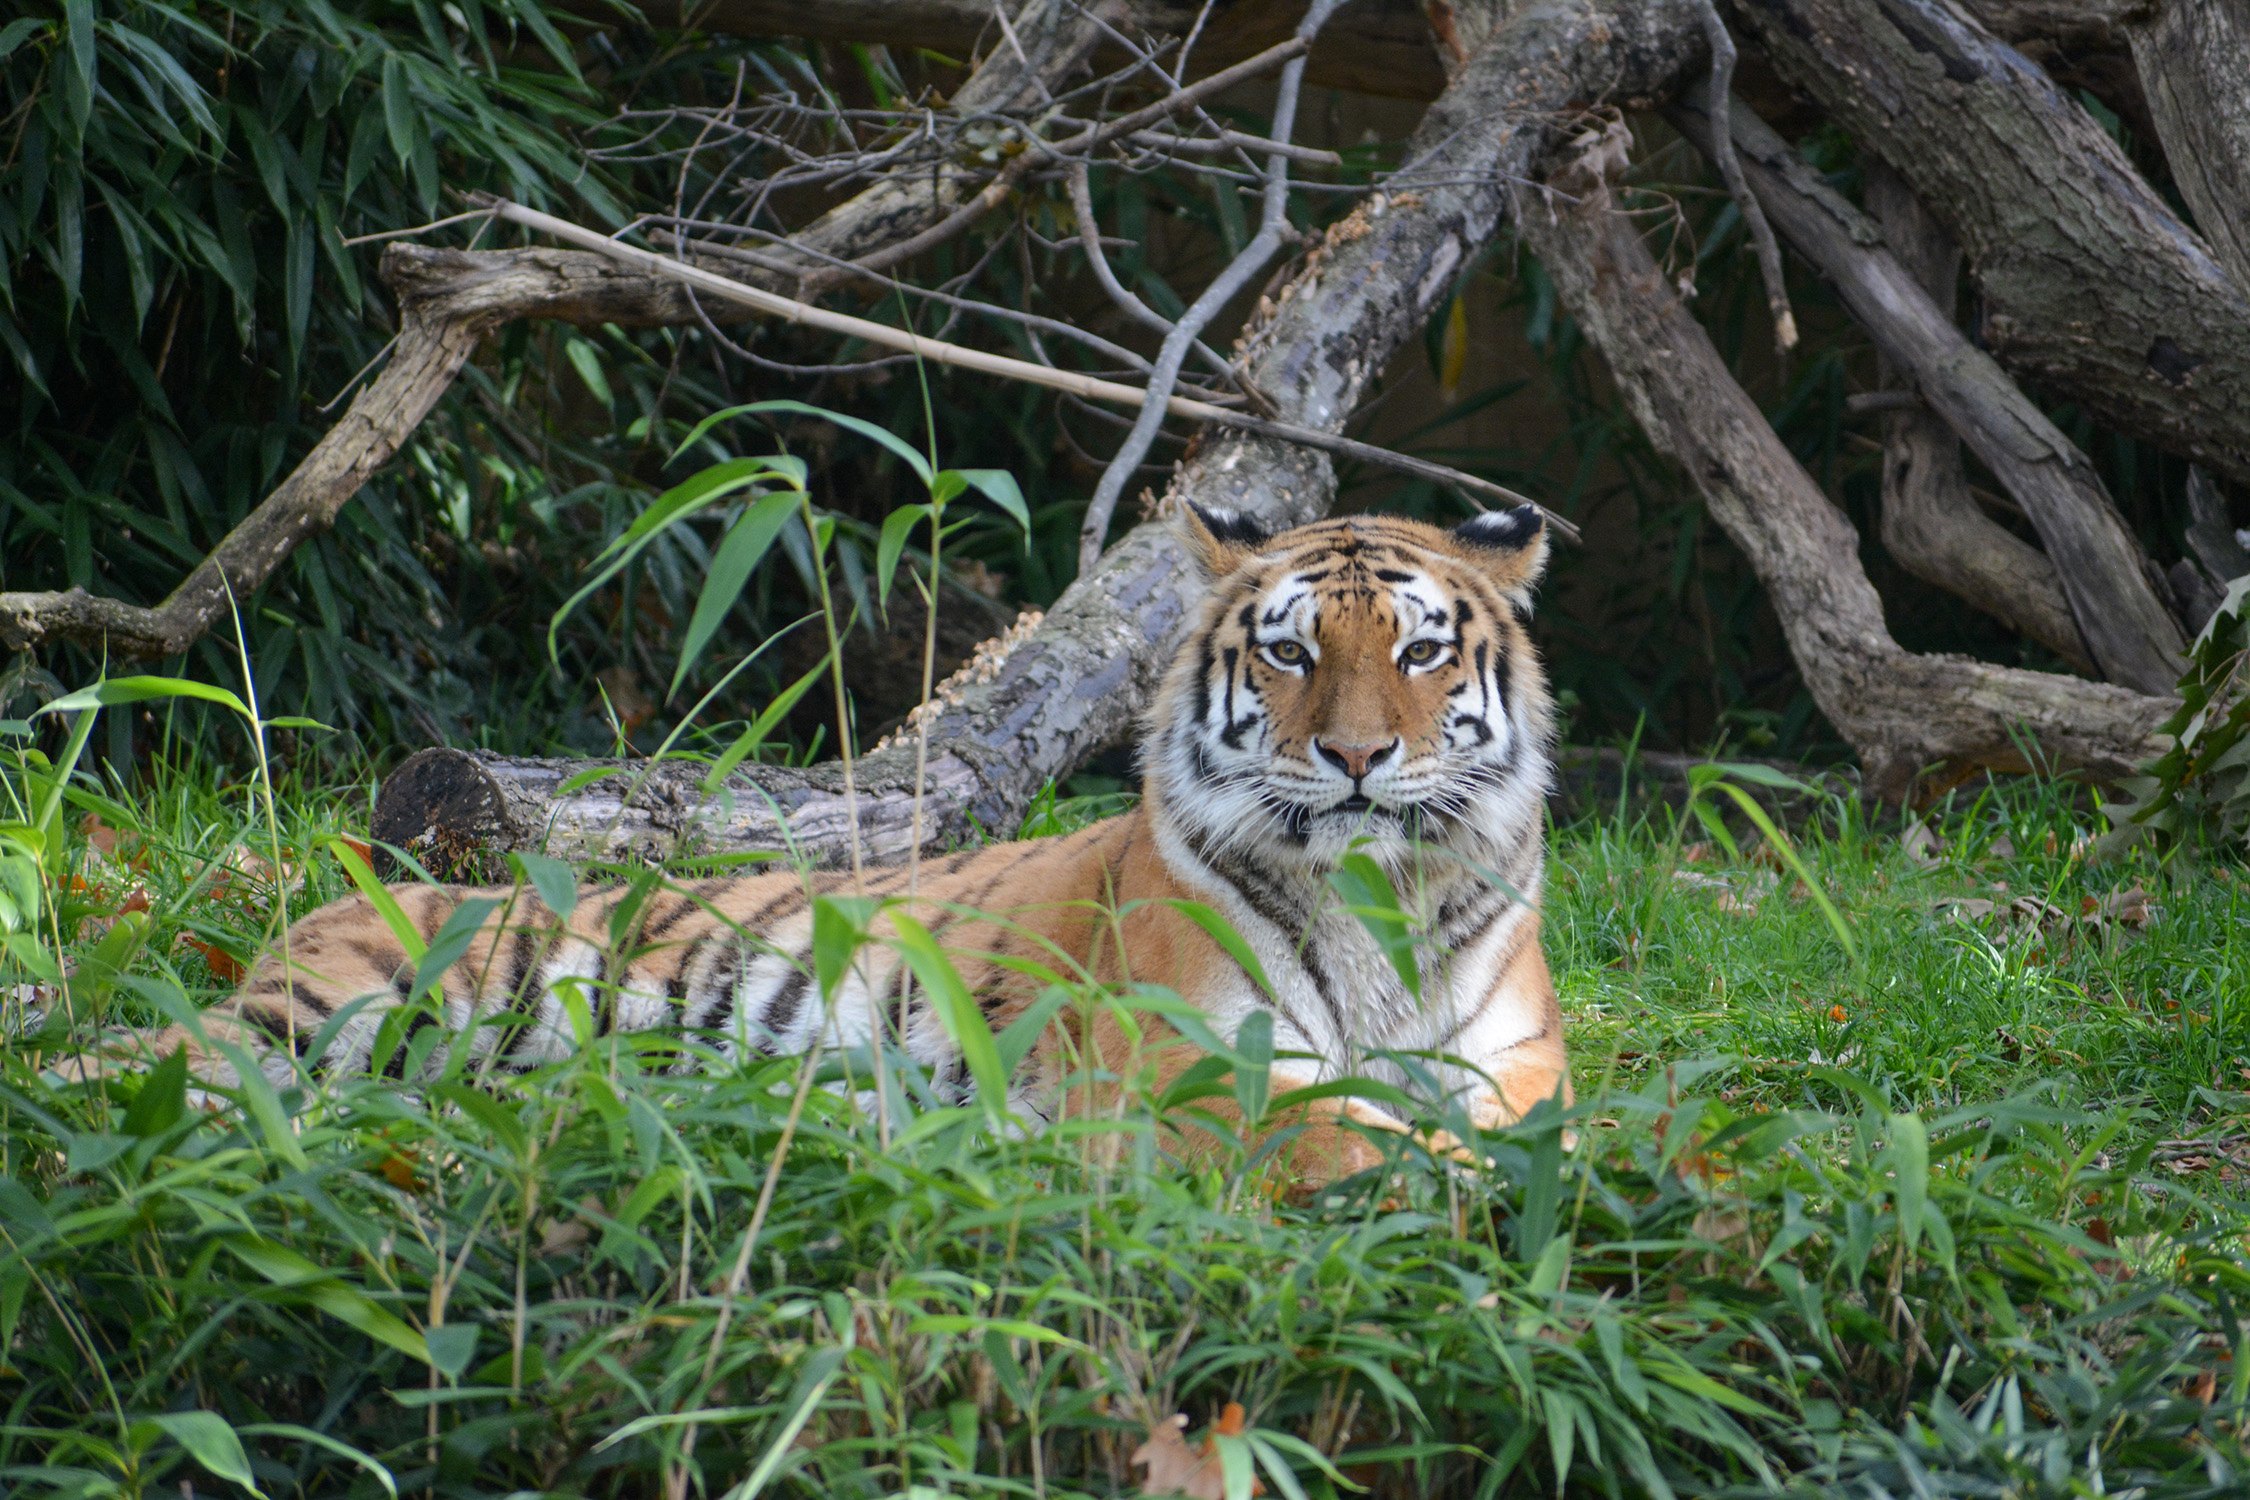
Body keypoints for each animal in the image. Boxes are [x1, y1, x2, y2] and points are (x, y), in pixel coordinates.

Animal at [66, 505, 1569, 1187]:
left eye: (1420, 654)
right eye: (1292, 653)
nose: (1358, 759)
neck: (1378, 896)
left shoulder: (1517, 1058)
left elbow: (1516, 1122)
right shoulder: (1187, 1068)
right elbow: (1343, 1132)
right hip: (333, 1013)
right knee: (144, 1067)